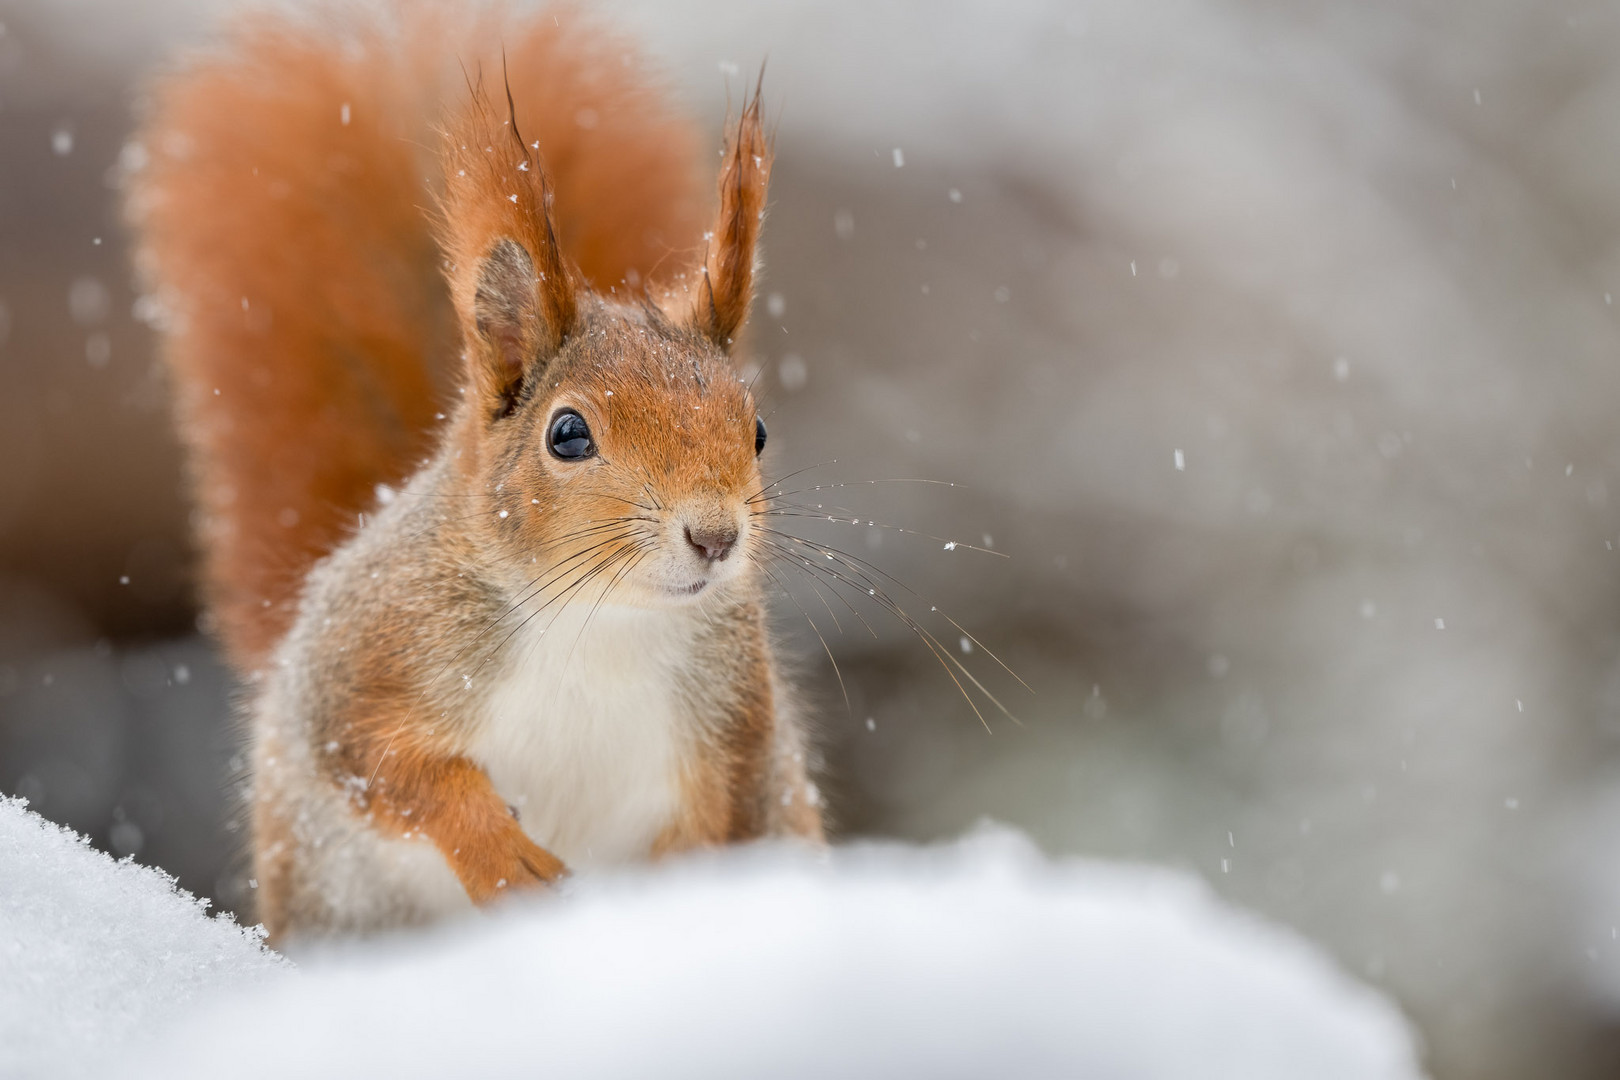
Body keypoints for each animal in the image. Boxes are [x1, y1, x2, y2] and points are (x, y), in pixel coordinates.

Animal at [129, 2, 822, 939]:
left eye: (756, 430)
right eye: (567, 434)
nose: (715, 536)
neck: (598, 622)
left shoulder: (734, 725)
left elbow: (719, 830)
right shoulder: (367, 661)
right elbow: (391, 769)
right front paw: (503, 857)